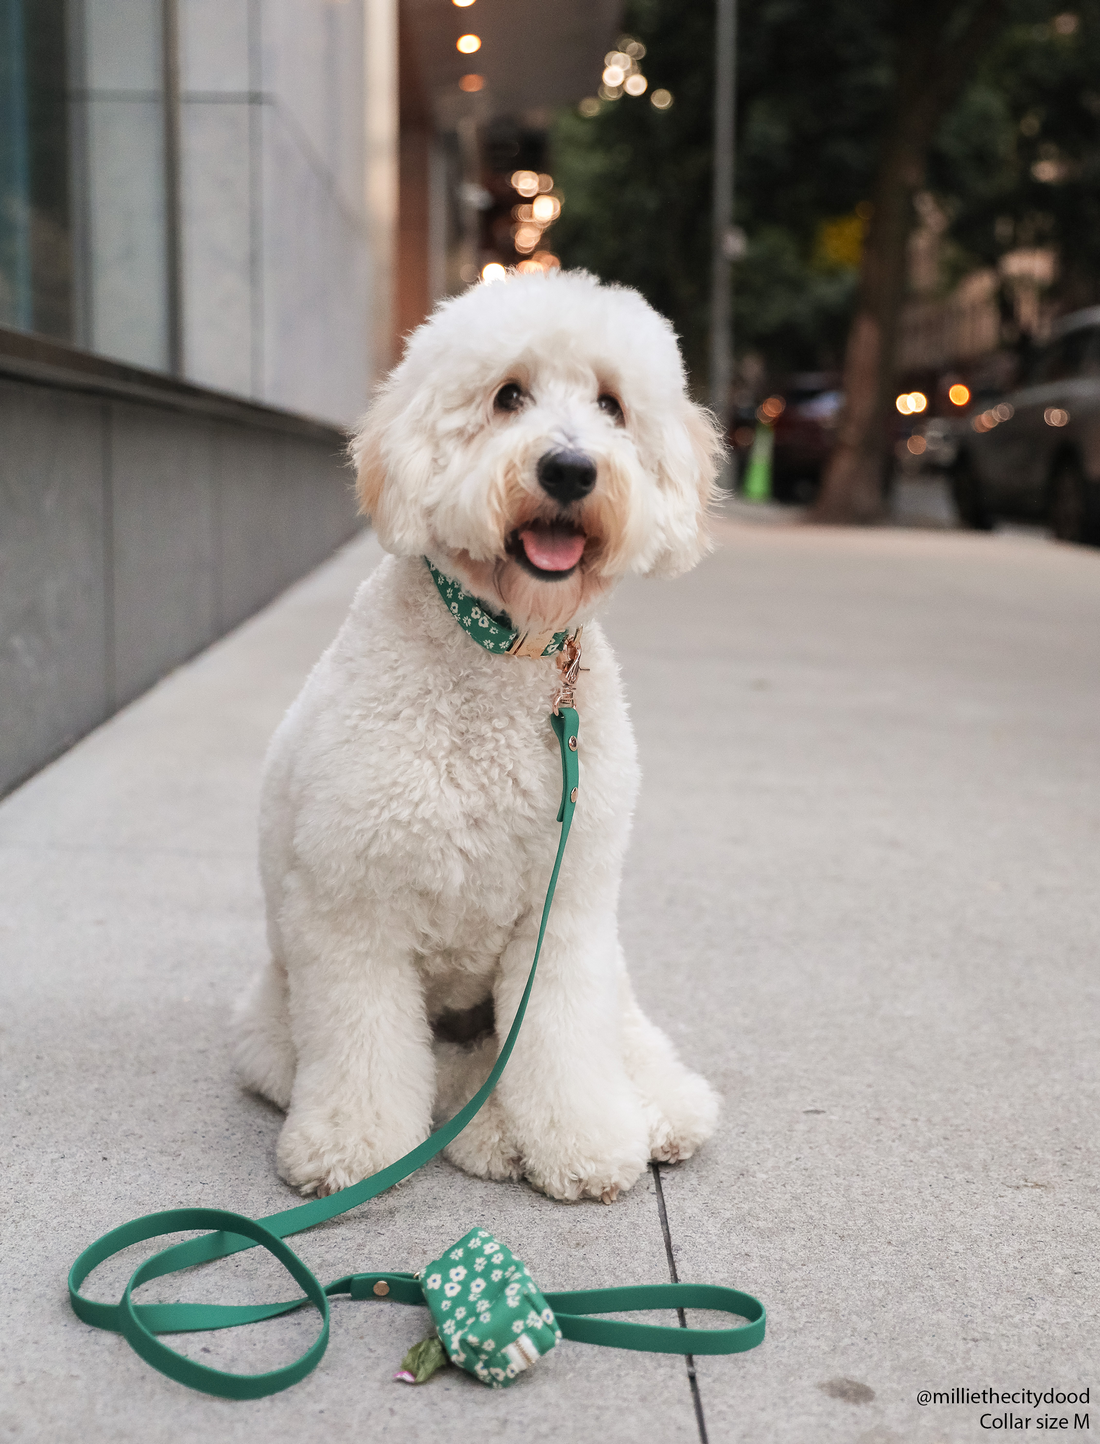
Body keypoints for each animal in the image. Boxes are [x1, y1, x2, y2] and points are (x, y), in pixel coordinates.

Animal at [233, 265, 718, 1201]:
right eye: (507, 396)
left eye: (611, 405)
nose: (569, 468)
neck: (502, 653)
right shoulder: (351, 910)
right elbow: (363, 1045)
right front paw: (353, 1146)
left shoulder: (565, 912)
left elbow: (565, 1041)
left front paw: (586, 1141)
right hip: (273, 1029)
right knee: (443, 1073)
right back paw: (488, 1133)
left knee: (616, 1036)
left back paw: (661, 1110)